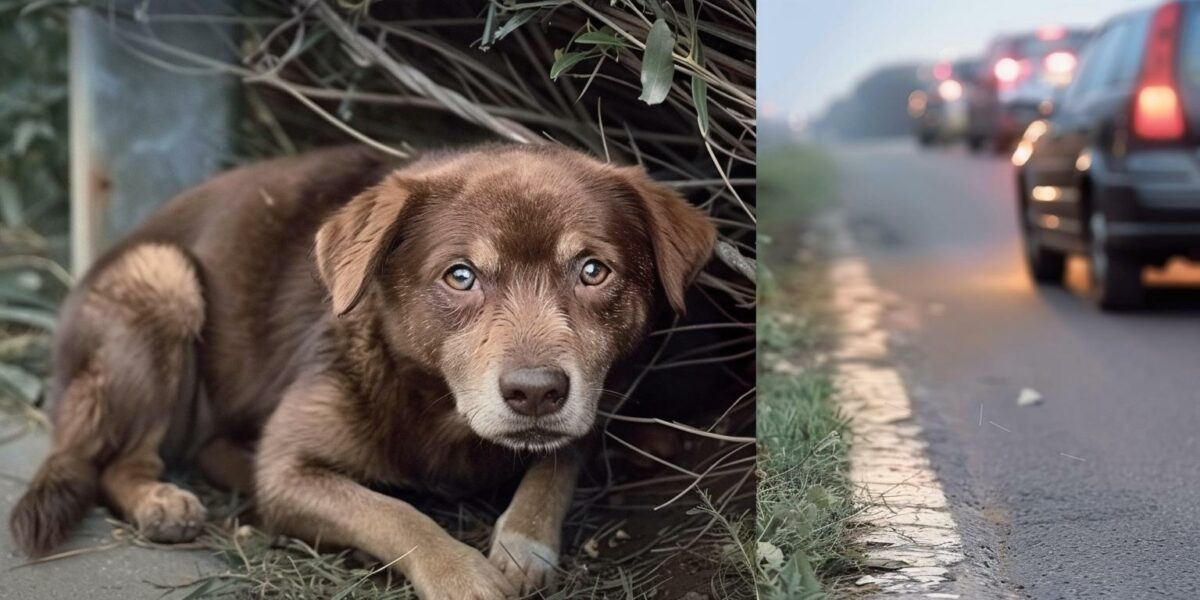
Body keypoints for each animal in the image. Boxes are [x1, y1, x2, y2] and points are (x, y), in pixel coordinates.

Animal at [7, 145, 710, 600]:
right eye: (460, 276)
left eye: (593, 270)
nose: (534, 393)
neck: (440, 408)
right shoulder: (290, 469)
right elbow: (393, 514)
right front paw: (463, 575)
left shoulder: (590, 398)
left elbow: (559, 460)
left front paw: (523, 541)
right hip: (164, 278)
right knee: (120, 460)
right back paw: (160, 500)